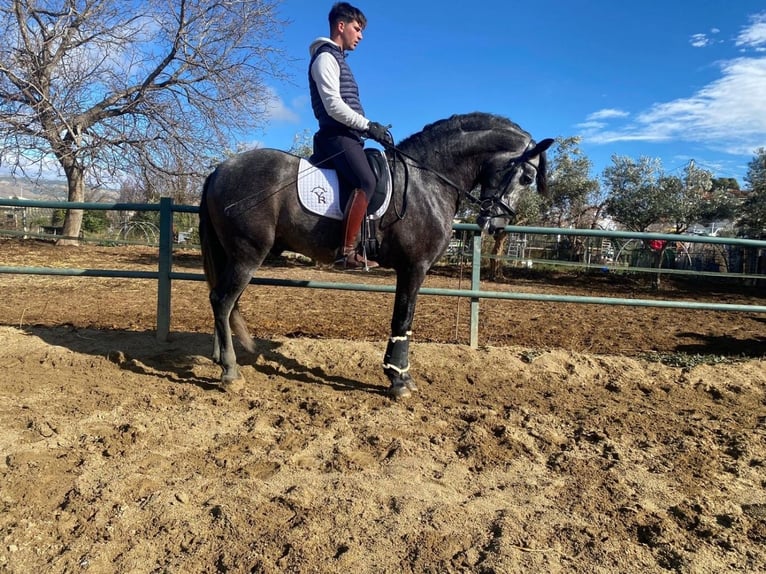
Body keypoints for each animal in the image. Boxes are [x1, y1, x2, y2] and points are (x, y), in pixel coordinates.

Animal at [201, 113, 556, 400]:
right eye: (526, 177)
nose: (496, 224)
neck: (427, 181)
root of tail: (219, 170)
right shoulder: (413, 267)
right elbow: (403, 319)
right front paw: (399, 380)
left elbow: (404, 321)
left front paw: (400, 376)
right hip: (247, 254)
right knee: (222, 300)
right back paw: (230, 372)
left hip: (237, 256)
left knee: (224, 301)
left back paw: (221, 358)